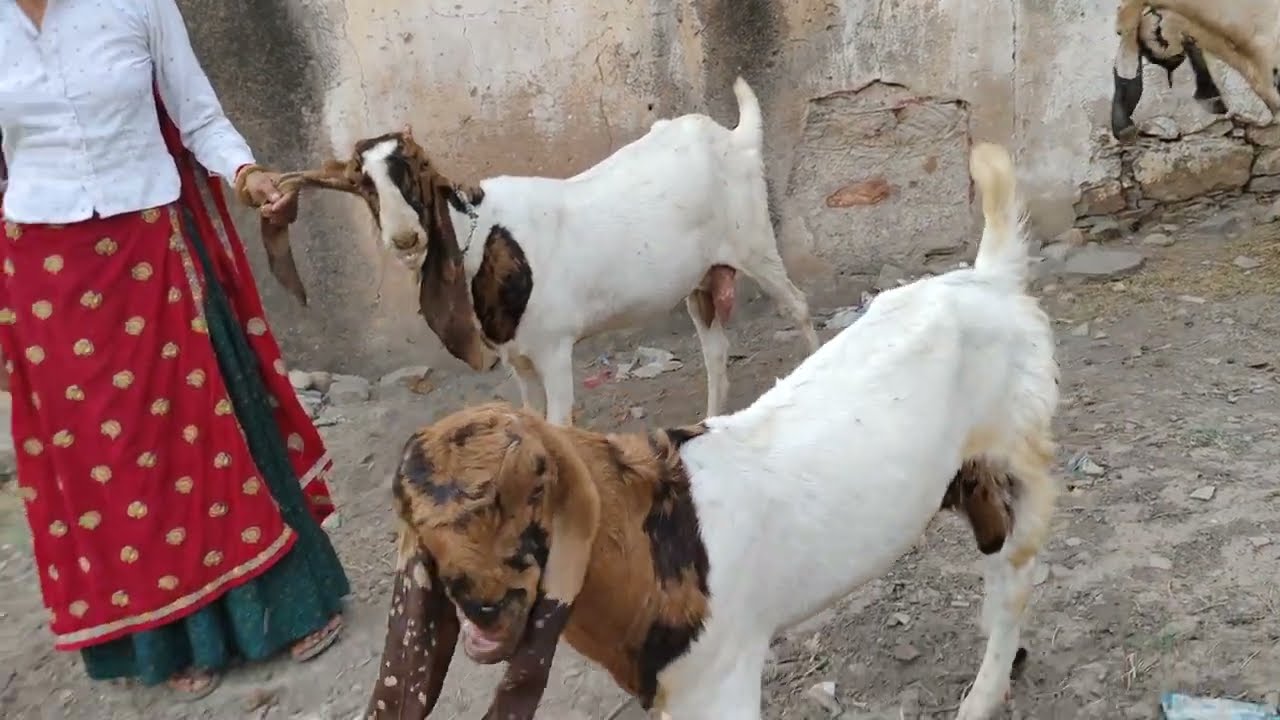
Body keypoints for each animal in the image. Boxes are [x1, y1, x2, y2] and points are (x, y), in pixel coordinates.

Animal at [278, 79, 820, 426]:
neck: (484, 239)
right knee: (715, 348)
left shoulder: (555, 348)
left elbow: (559, 426)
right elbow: (530, 420)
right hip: (702, 277)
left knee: (797, 304)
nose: (405, 238)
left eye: (416, 170)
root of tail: (731, 137)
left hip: (754, 241)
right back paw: (709, 418)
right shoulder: (518, 358)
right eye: (363, 184)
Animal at [355, 142, 1060, 720]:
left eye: (529, 490)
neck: (655, 536)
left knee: (1017, 575)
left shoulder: (721, 679)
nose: (478, 603)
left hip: (1018, 450)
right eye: (416, 519)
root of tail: (990, 278)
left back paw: (983, 694)